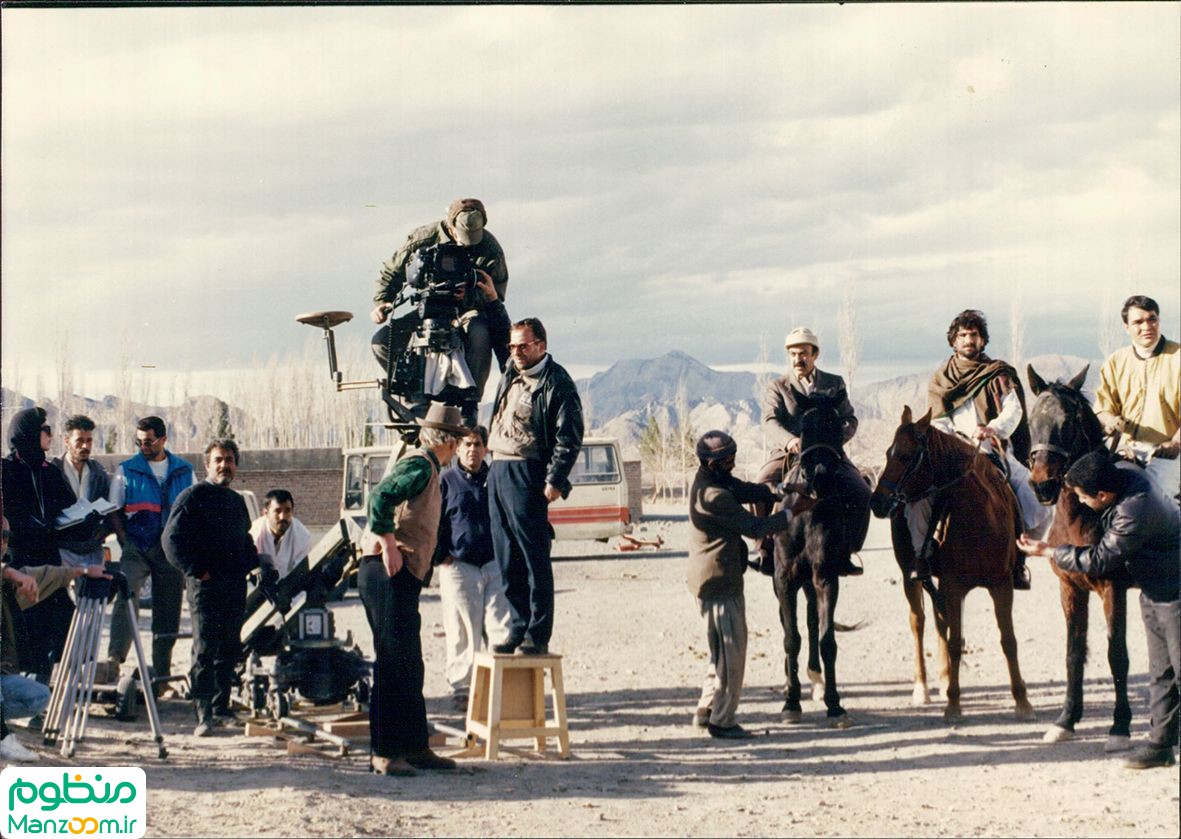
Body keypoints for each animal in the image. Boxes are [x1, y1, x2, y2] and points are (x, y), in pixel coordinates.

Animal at [770, 389, 873, 727]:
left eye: (837, 424)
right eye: (804, 425)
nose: (819, 477)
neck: (807, 509)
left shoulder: (826, 576)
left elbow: (827, 640)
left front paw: (834, 704)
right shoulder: (785, 579)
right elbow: (791, 638)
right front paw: (790, 702)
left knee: (814, 621)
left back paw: (815, 679)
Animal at [869, 406, 1034, 723]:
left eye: (905, 456)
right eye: (887, 453)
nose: (877, 503)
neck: (979, 519)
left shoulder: (1001, 585)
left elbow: (1008, 640)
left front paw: (1022, 700)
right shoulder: (954, 586)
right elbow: (957, 642)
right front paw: (953, 705)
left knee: (938, 622)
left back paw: (945, 677)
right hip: (910, 577)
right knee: (919, 622)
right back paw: (922, 688)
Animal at [1025, 363, 1133, 751]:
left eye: (1068, 421)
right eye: (1032, 419)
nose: (1042, 484)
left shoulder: (1113, 590)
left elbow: (1117, 655)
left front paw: (1120, 726)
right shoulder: (1071, 589)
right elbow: (1074, 652)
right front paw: (1066, 720)